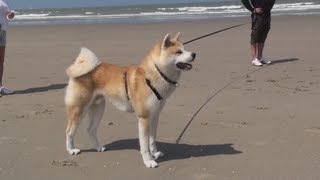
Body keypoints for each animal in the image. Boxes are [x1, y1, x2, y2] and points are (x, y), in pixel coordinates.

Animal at [64, 33, 196, 168]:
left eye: (184, 49)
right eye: (179, 52)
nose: (194, 54)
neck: (155, 74)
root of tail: (83, 66)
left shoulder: (155, 116)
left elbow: (152, 139)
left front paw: (155, 153)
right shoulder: (144, 118)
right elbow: (144, 144)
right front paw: (148, 160)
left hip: (98, 108)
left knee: (90, 130)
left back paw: (98, 147)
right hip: (79, 109)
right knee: (69, 131)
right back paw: (71, 149)